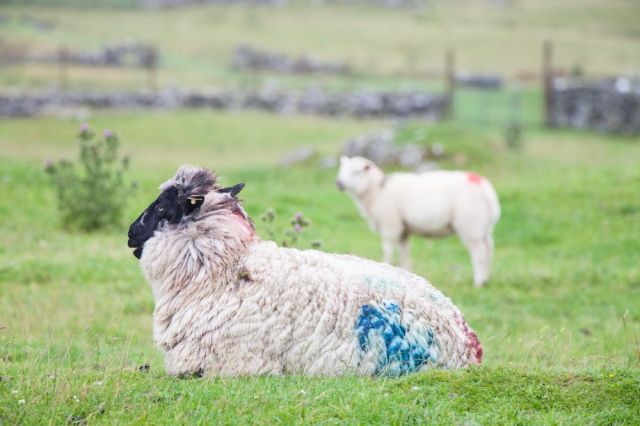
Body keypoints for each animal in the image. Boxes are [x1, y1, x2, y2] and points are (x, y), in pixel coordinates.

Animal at [336, 156, 500, 287]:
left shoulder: (390, 225)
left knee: (478, 253)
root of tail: (480, 183)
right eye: (341, 170)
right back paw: (486, 279)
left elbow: (387, 249)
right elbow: (404, 251)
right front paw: (405, 271)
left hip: (470, 224)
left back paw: (479, 281)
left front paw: (385, 265)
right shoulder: (403, 230)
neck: (378, 190)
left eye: (356, 171)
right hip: (485, 226)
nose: (338, 183)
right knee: (489, 249)